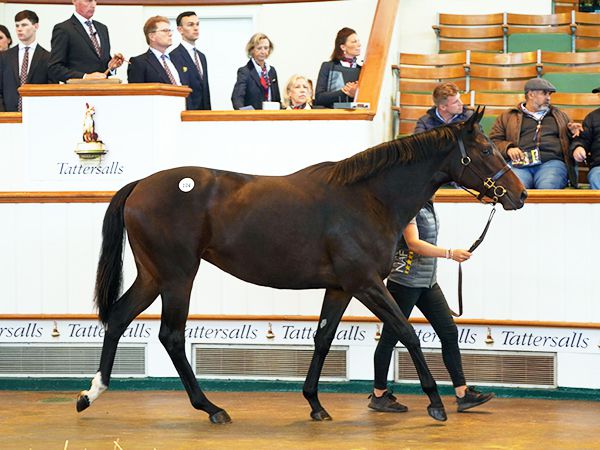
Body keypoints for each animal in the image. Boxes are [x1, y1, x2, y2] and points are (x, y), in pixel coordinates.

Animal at [75, 107, 524, 424]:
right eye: (487, 150)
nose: (519, 195)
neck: (367, 198)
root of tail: (141, 185)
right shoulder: (366, 284)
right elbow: (407, 334)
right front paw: (435, 403)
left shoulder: (340, 288)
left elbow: (323, 339)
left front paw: (315, 404)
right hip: (177, 276)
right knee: (170, 335)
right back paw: (211, 407)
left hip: (154, 276)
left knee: (118, 317)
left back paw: (90, 394)